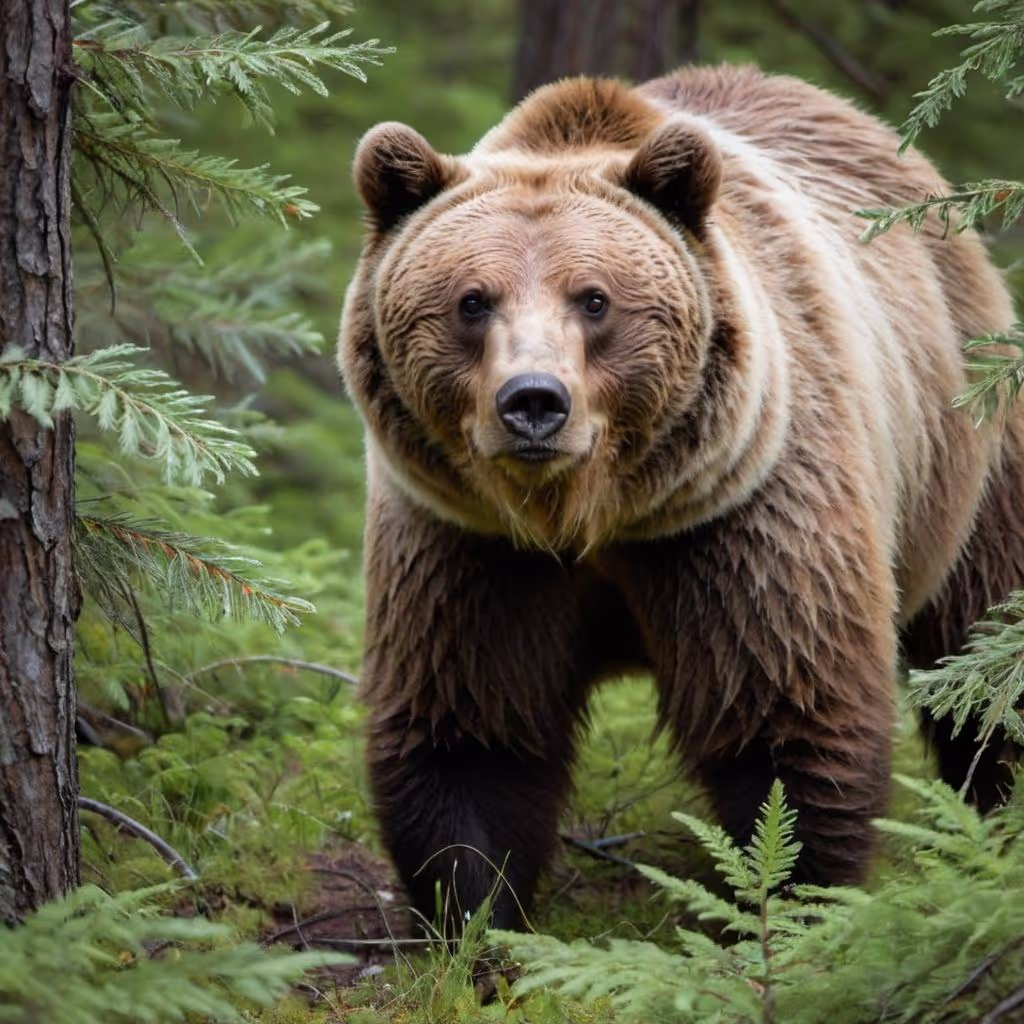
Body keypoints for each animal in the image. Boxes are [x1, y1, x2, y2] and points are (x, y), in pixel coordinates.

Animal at [338, 64, 1024, 931]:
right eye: (471, 300)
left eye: (594, 298)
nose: (533, 402)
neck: (591, 515)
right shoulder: (472, 543)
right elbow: (473, 727)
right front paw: (476, 918)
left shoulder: (740, 517)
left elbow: (787, 718)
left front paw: (786, 904)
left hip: (968, 441)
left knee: (987, 649)